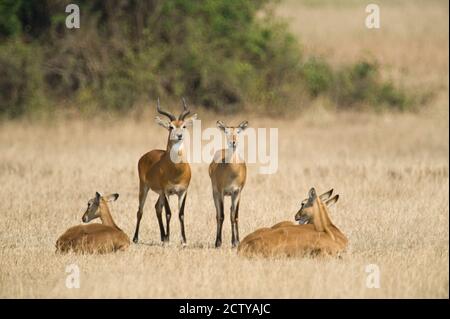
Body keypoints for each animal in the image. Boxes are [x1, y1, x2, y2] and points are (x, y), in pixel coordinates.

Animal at [133, 98, 198, 245]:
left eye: (184, 126)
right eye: (171, 127)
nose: (179, 136)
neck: (176, 171)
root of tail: (146, 155)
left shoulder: (183, 191)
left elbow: (181, 214)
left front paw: (183, 241)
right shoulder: (167, 191)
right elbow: (169, 213)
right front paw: (168, 241)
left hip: (160, 194)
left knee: (157, 208)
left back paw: (163, 236)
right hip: (144, 187)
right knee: (140, 210)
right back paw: (136, 238)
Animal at [208, 121, 248, 249]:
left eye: (238, 131)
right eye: (226, 131)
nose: (233, 142)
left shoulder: (237, 192)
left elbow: (234, 216)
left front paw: (236, 242)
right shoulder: (221, 192)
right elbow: (221, 216)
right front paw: (218, 243)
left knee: (231, 213)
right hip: (215, 193)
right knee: (218, 214)